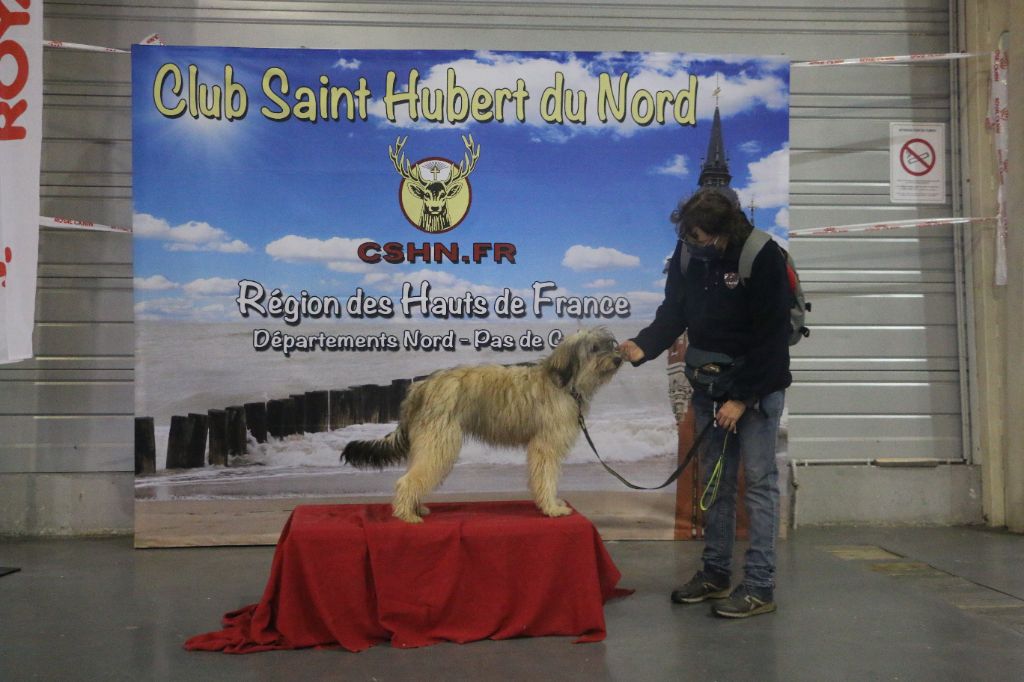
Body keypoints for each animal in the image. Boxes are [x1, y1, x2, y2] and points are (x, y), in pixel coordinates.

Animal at [341, 328, 623, 523]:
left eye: (610, 344)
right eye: (594, 348)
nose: (619, 359)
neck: (563, 382)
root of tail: (420, 387)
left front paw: (551, 504)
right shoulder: (546, 446)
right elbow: (546, 477)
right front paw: (552, 508)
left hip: (430, 442)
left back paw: (415, 507)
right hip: (439, 442)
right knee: (407, 480)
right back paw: (406, 515)